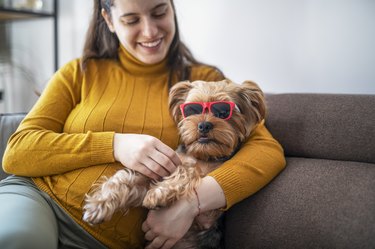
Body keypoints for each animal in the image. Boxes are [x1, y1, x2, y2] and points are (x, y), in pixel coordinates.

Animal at [83, 79, 266, 248]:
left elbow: (187, 171)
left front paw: (158, 194)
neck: (202, 155)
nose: (204, 125)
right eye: (192, 110)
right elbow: (123, 179)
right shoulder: (154, 175)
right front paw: (97, 205)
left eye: (222, 112)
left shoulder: (207, 213)